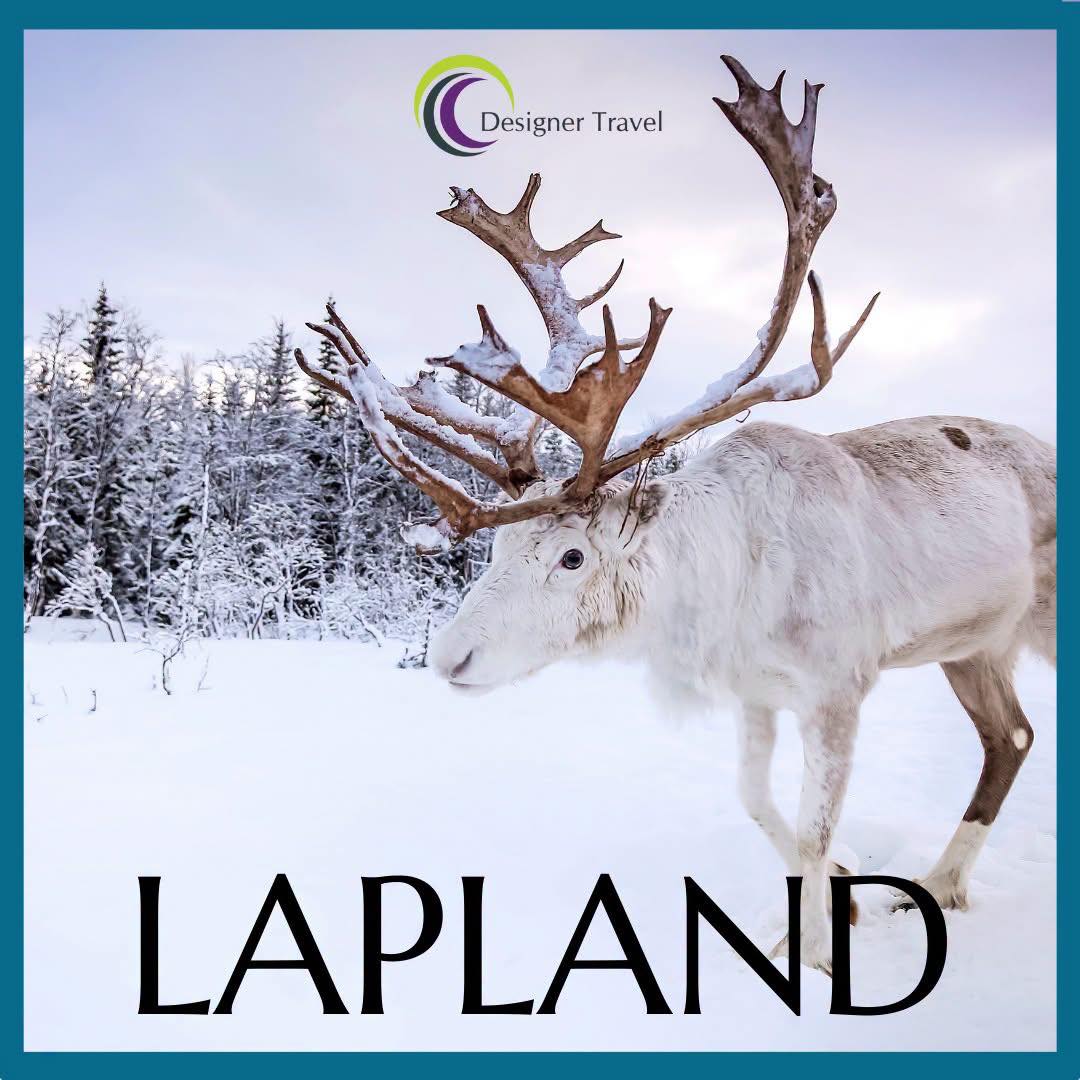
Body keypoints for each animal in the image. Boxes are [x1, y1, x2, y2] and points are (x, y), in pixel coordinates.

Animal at [295, 56, 1057, 975]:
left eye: (573, 557)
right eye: (496, 551)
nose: (449, 657)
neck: (728, 591)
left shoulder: (840, 686)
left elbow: (812, 825)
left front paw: (817, 952)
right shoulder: (758, 693)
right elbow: (759, 803)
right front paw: (835, 898)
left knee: (1011, 736)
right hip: (974, 644)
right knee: (1011, 737)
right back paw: (940, 883)